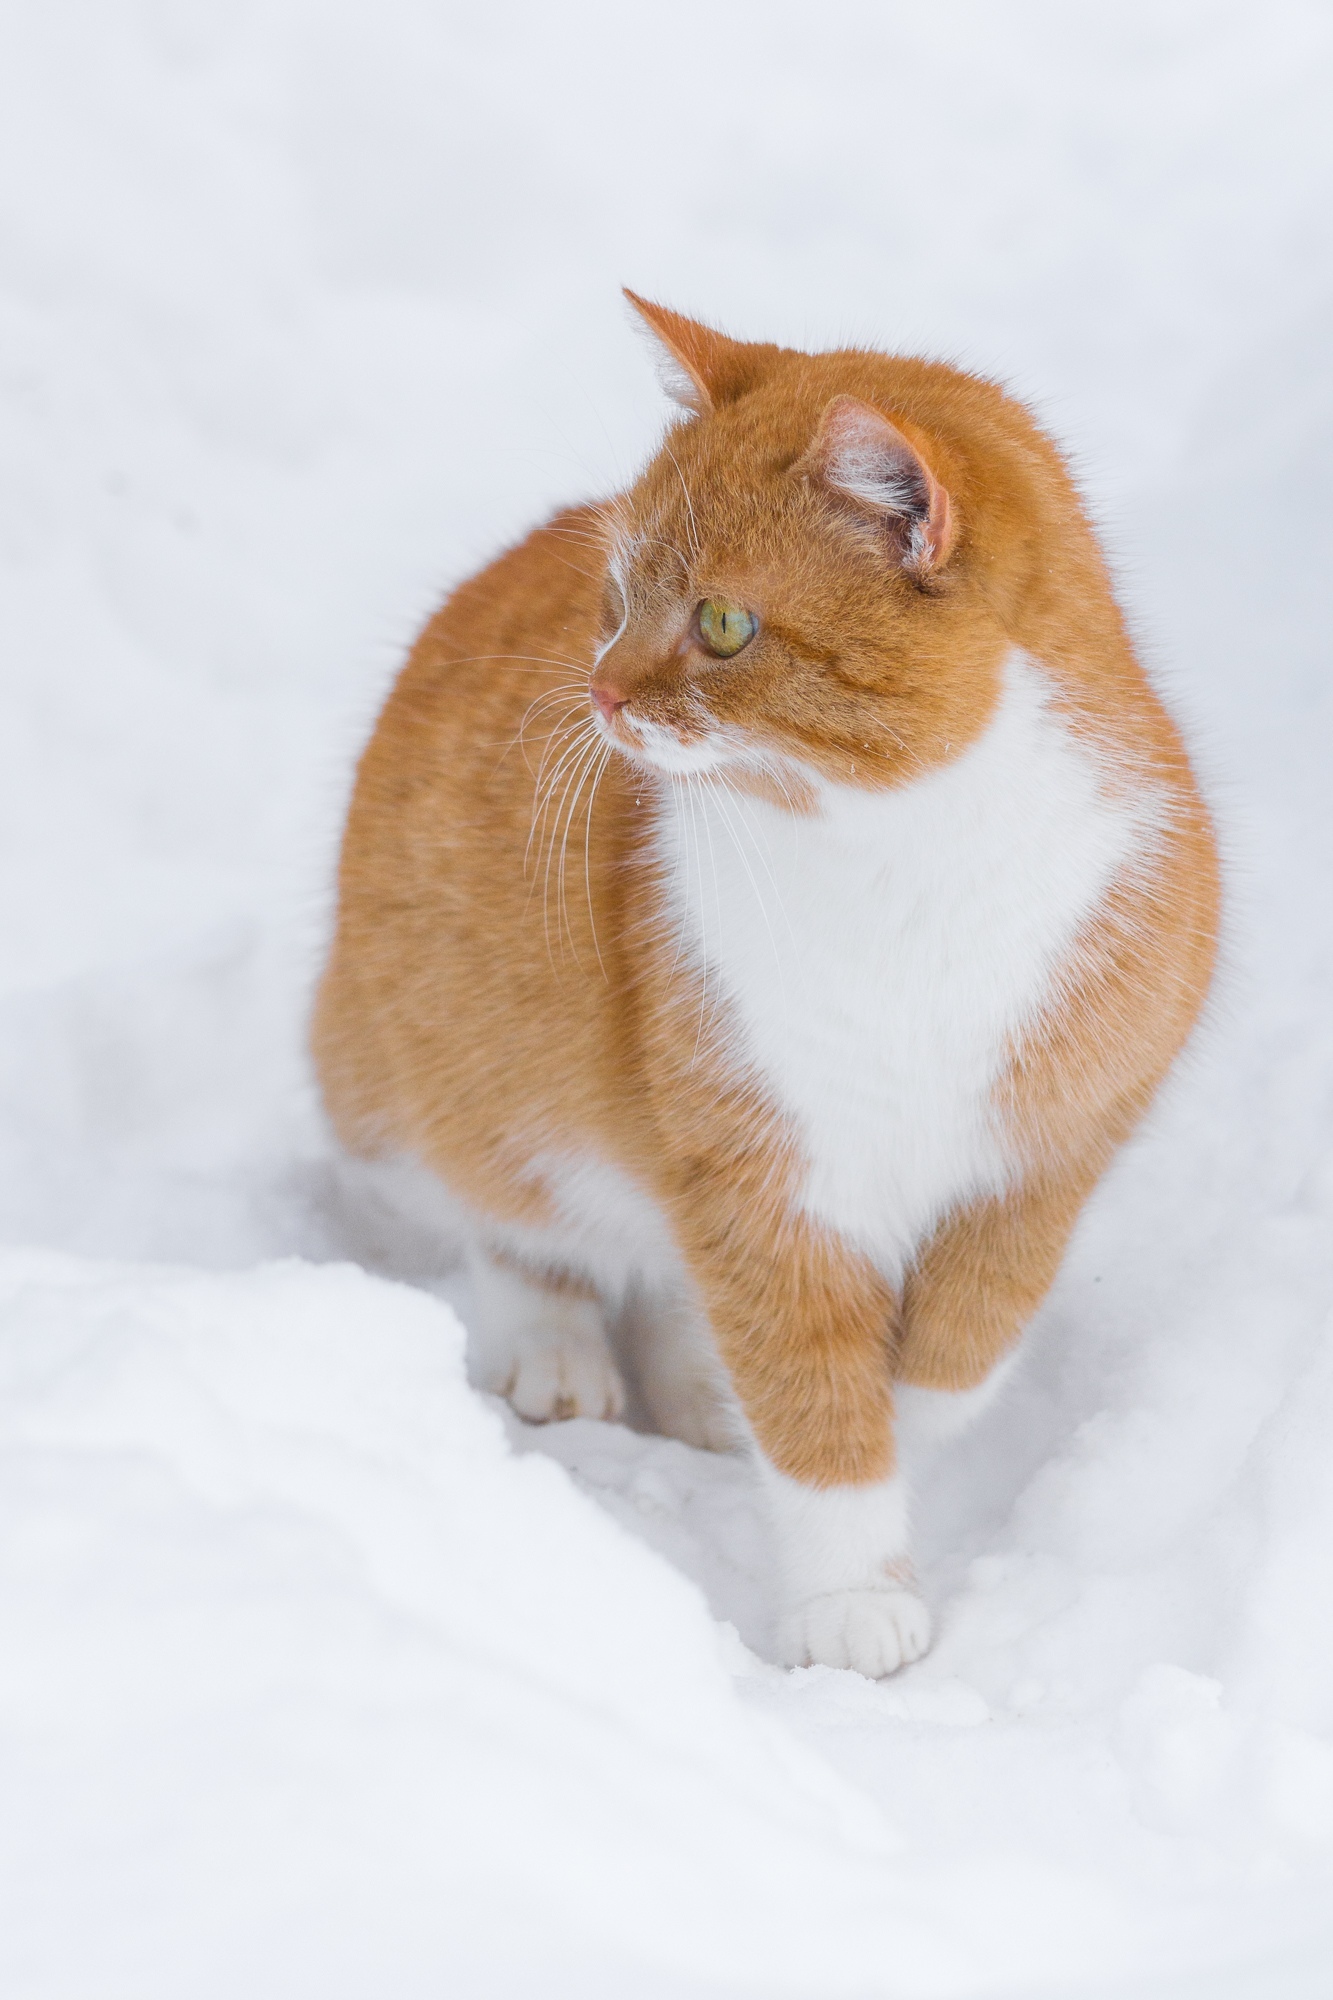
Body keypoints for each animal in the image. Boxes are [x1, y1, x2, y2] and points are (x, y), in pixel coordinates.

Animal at [314, 292, 1216, 1672]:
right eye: (615, 597)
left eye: (723, 624)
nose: (599, 692)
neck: (906, 862)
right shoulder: (753, 1171)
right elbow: (811, 1396)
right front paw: (852, 1592)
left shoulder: (1054, 1138)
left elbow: (969, 1332)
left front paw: (911, 1408)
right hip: (415, 1065)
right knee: (512, 1218)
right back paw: (557, 1349)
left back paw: (694, 1382)